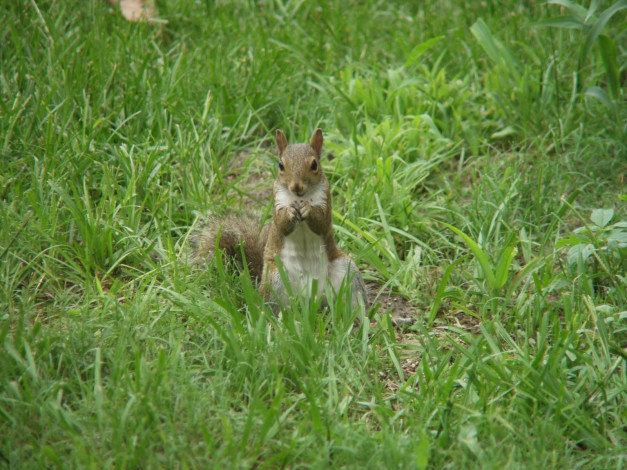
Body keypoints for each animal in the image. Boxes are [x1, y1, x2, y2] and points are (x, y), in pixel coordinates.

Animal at [189, 127, 370, 316]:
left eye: (314, 165)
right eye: (281, 165)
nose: (296, 187)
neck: (300, 198)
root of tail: (311, 300)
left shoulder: (325, 202)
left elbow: (321, 222)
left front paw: (308, 210)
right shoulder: (278, 204)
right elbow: (282, 225)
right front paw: (290, 212)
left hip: (346, 271)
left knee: (353, 296)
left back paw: (358, 316)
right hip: (275, 279)